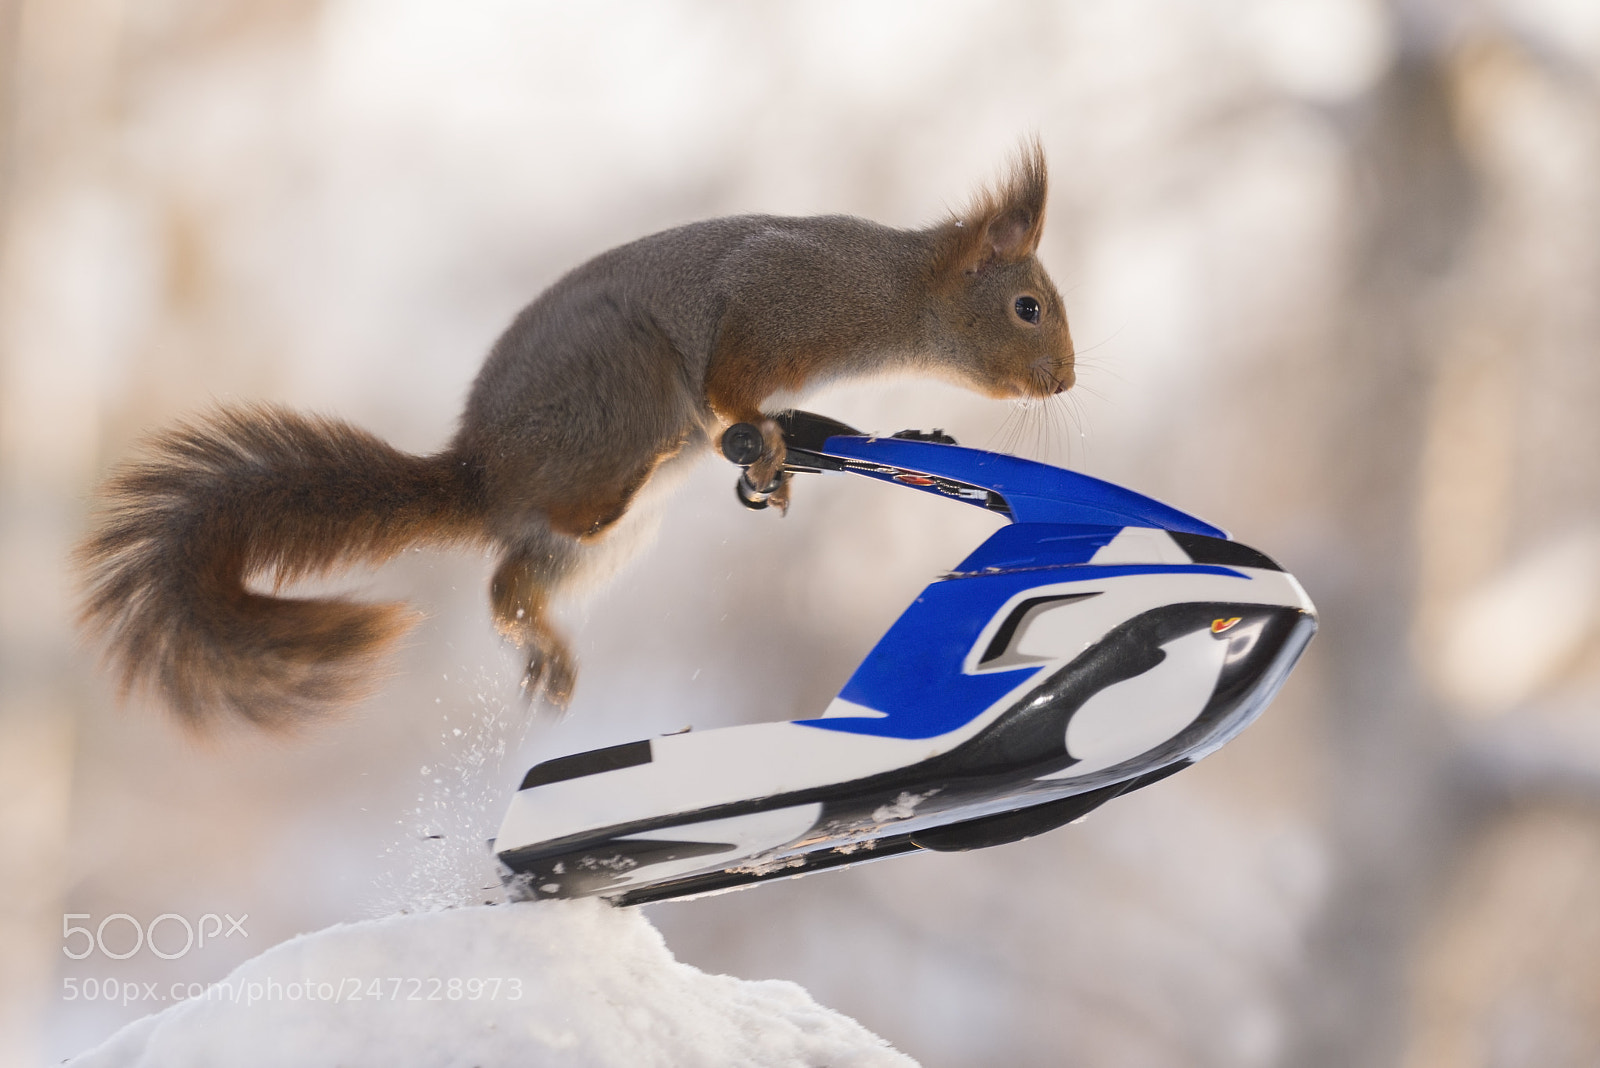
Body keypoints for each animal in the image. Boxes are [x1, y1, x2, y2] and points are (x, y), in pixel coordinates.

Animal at [75, 142, 1075, 730]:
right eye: (1027, 308)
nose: (1065, 380)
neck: (891, 291)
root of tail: (483, 476)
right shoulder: (775, 298)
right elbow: (730, 379)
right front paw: (762, 437)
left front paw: (777, 468)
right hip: (622, 390)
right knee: (572, 510)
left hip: (595, 546)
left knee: (509, 585)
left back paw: (547, 651)